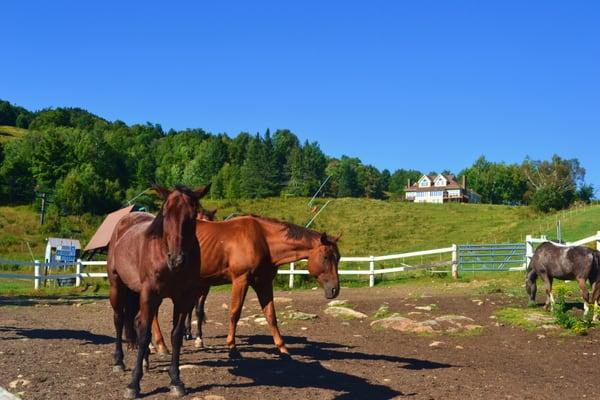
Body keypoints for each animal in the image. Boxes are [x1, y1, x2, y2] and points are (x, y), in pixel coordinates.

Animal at [107, 184, 209, 396]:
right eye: (166, 214)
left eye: (192, 215)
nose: (177, 260)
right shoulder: (150, 295)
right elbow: (145, 333)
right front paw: (133, 384)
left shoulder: (184, 298)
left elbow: (176, 335)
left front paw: (176, 381)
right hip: (117, 287)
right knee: (119, 320)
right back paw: (119, 361)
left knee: (135, 321)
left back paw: (145, 360)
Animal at [151, 216, 342, 356]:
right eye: (326, 257)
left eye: (338, 257)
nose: (335, 290)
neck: (262, 240)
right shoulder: (240, 280)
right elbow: (235, 313)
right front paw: (232, 347)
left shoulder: (263, 283)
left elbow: (271, 315)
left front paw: (282, 347)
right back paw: (159, 346)